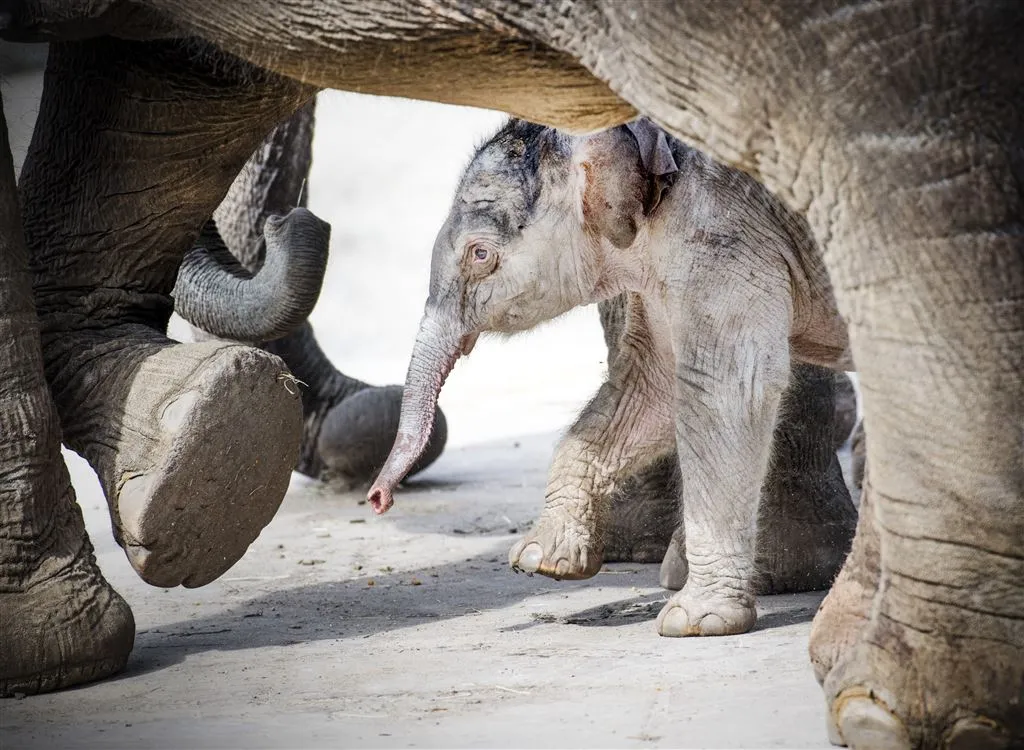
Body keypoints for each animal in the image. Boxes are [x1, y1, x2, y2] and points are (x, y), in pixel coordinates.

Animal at [368, 119, 847, 635]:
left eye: (480, 255)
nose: (378, 499)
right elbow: (653, 389)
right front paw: (539, 559)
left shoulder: (724, 241)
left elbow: (726, 388)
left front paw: (694, 622)